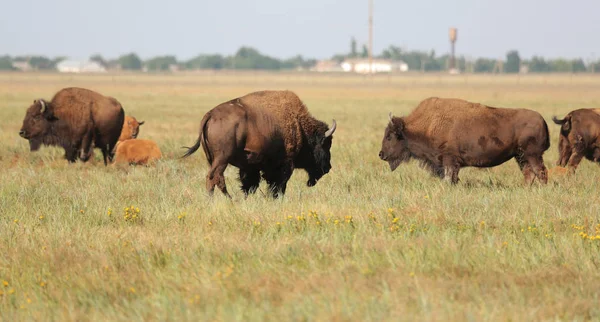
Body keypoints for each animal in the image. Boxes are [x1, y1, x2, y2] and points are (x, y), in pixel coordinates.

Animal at [180, 89, 336, 197]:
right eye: (326, 144)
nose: (328, 167)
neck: (299, 125)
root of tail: (210, 114)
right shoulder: (285, 164)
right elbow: (278, 185)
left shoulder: (250, 167)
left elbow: (250, 185)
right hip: (222, 159)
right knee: (215, 178)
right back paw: (225, 199)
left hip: (212, 159)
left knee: (216, 179)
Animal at [378, 97, 552, 184]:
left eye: (389, 136)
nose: (381, 154)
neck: (429, 124)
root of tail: (542, 120)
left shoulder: (449, 160)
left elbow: (449, 178)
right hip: (520, 157)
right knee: (529, 174)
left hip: (532, 155)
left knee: (541, 172)